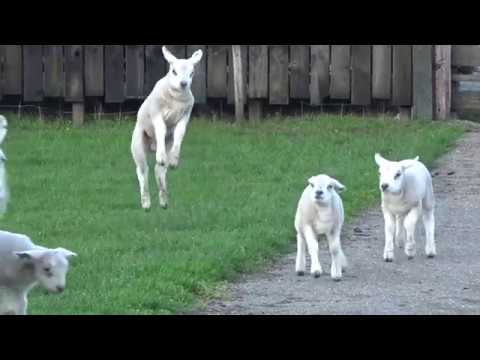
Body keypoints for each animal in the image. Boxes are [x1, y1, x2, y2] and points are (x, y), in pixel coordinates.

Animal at [131, 46, 204, 210]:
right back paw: (146, 203)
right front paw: (161, 156)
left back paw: (164, 199)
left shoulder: (185, 116)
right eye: (173, 71)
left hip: (167, 143)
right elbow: (161, 129)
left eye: (192, 73)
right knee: (142, 170)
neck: (176, 99)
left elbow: (180, 133)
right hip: (137, 143)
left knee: (159, 170)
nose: (183, 83)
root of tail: (152, 146)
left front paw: (174, 160)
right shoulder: (156, 113)